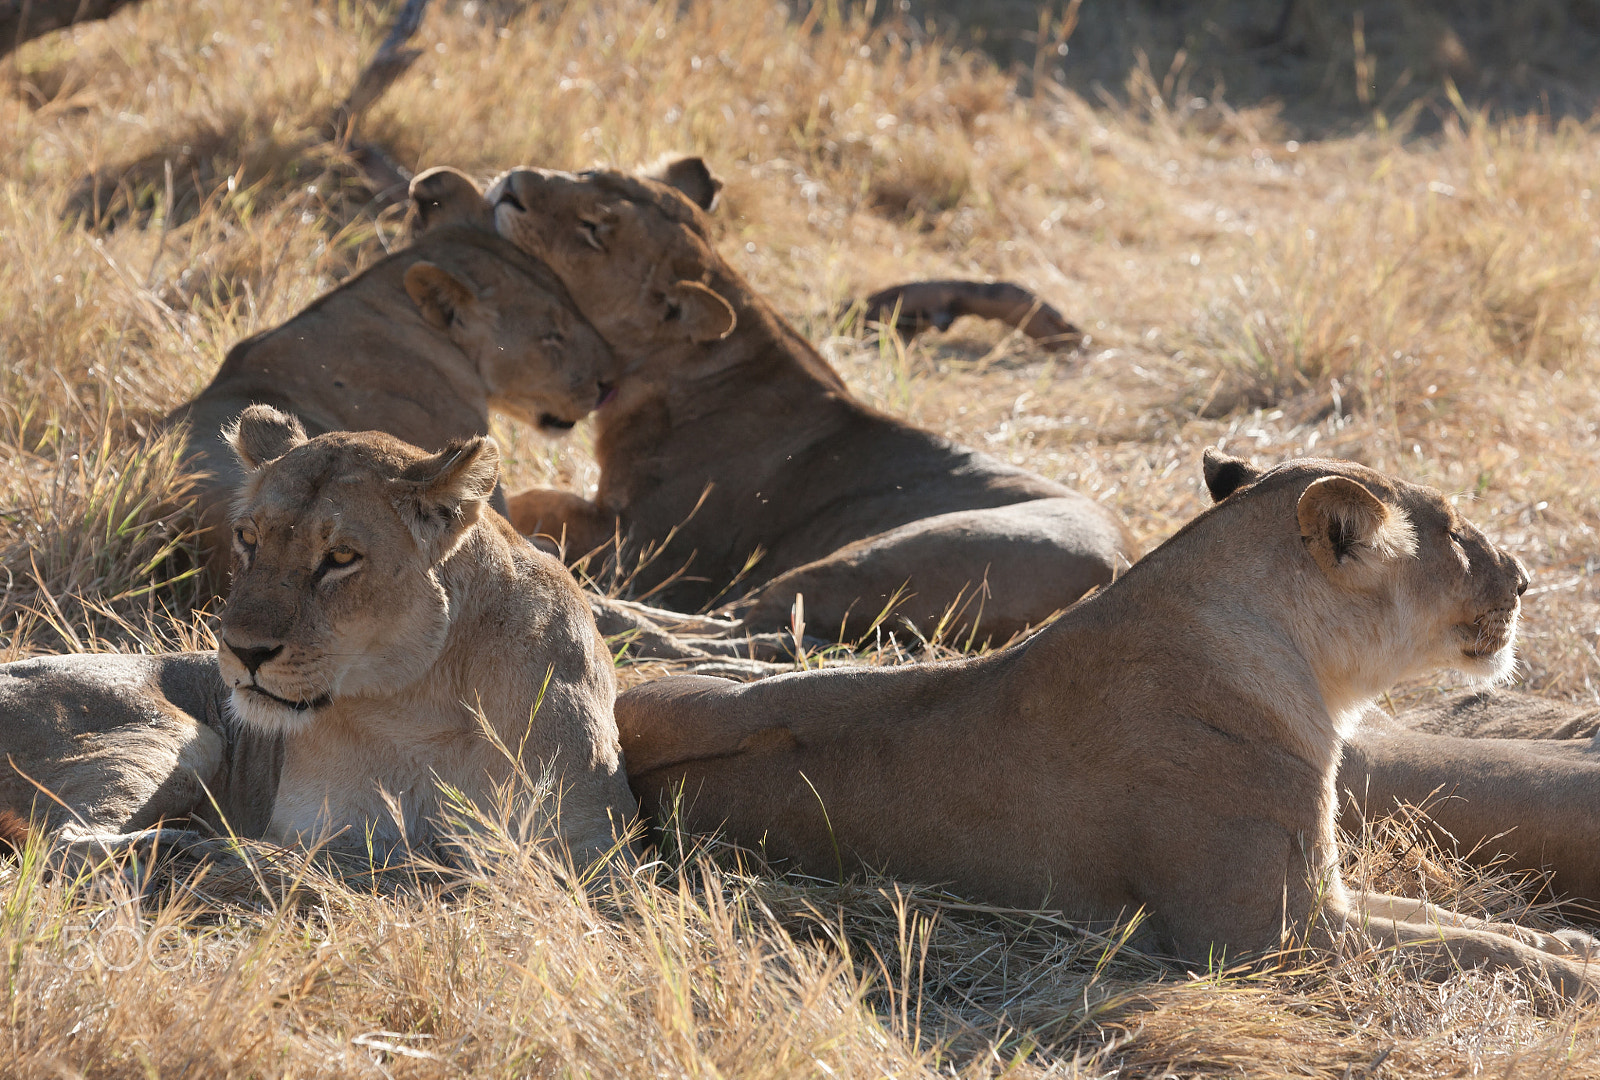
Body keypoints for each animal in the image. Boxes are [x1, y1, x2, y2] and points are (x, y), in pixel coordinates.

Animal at [2, 407, 637, 866]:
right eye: (248, 537)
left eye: (341, 558)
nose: (244, 651)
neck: (422, 704)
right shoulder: (319, 823)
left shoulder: (597, 847)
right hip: (183, 734)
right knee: (63, 844)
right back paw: (188, 847)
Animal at [465, 159, 1136, 643]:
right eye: (589, 170)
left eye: (595, 232)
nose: (512, 186)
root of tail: (1119, 574)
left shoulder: (646, 548)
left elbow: (546, 504)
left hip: (887, 556)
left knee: (744, 624)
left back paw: (602, 612)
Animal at [613, 450, 1597, 998]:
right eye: (1459, 533)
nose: (1525, 580)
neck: (1306, 670)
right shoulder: (1263, 935)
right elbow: (1463, 950)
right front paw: (1573, 976)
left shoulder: (1325, 896)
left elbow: (1451, 921)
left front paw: (1562, 938)